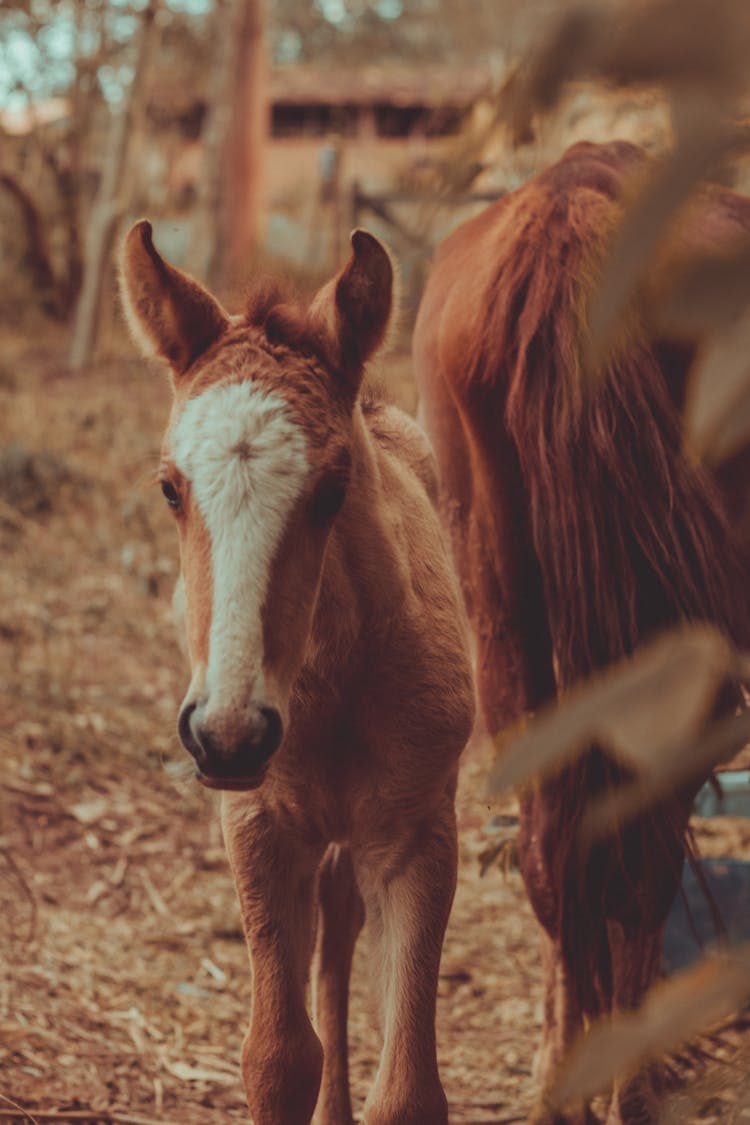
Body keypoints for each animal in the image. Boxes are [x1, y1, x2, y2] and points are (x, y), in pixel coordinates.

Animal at [122, 221, 474, 1125]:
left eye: (332, 489)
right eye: (170, 487)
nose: (230, 734)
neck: (327, 691)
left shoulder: (417, 835)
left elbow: (409, 1086)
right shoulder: (259, 826)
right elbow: (278, 1057)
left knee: (344, 933)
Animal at [413, 142, 750, 1125]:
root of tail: (565, 218)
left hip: (499, 592)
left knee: (557, 835)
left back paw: (568, 1075)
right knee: (639, 839)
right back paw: (627, 1079)